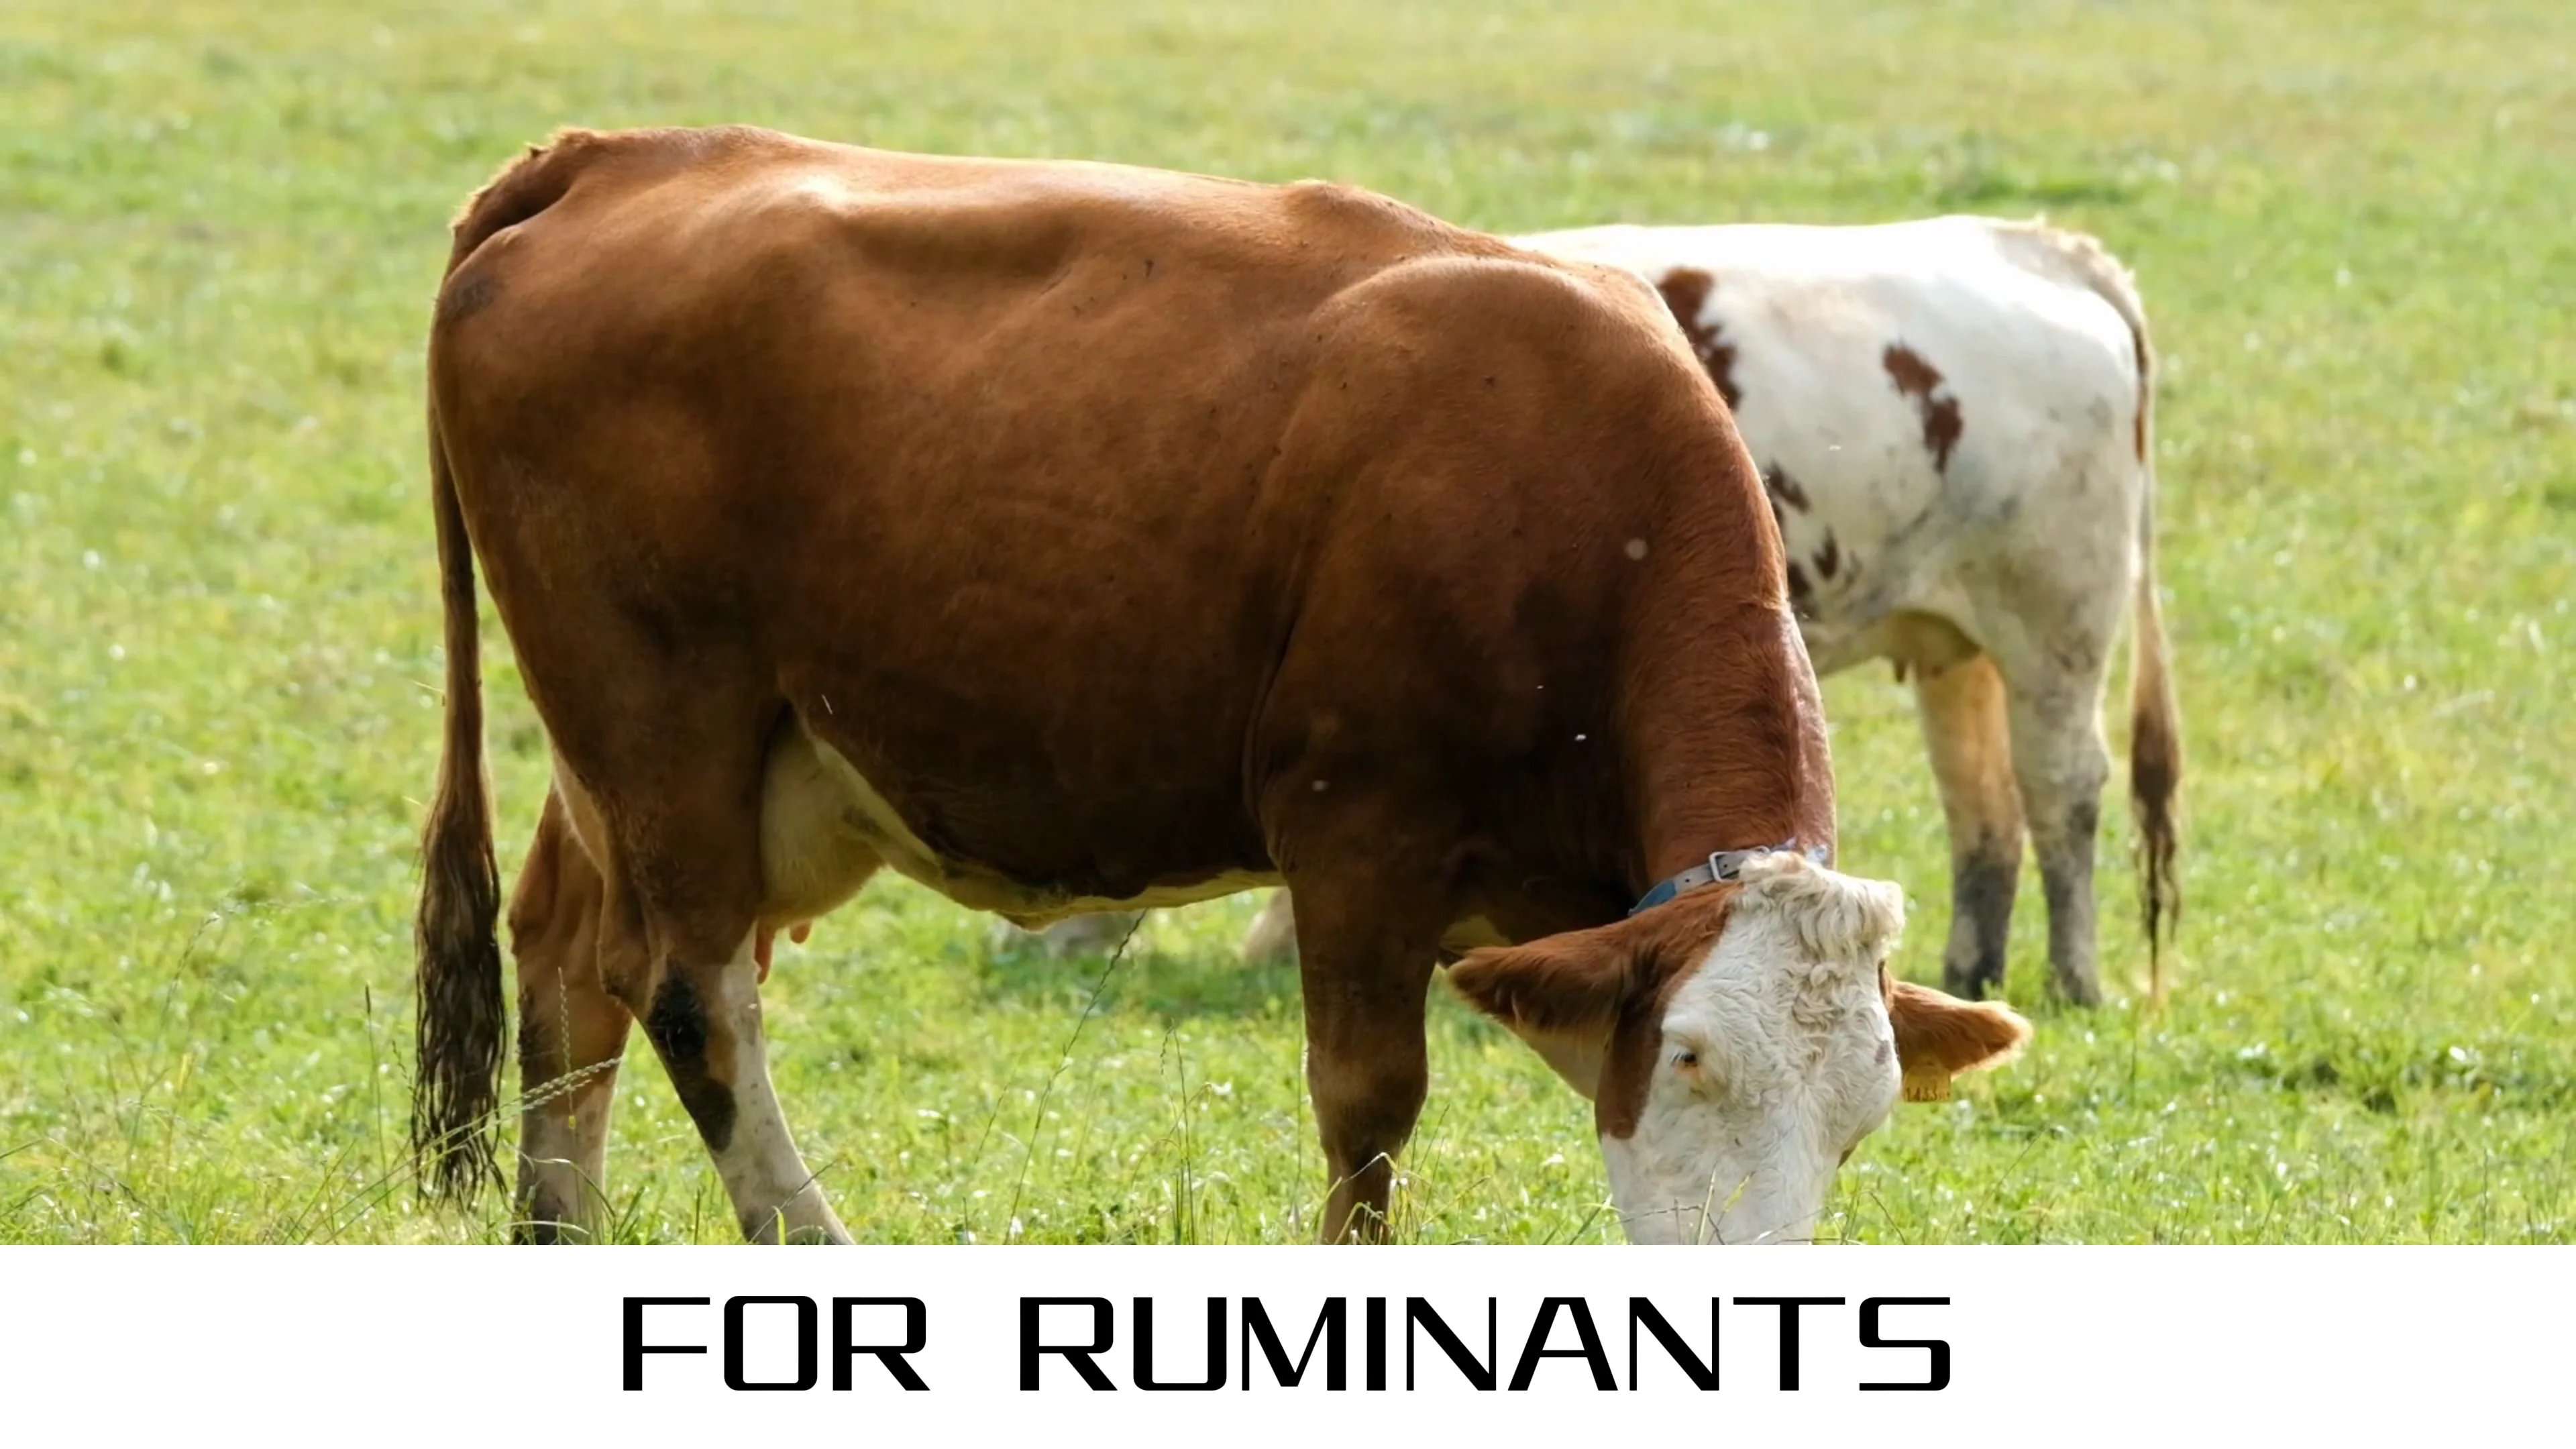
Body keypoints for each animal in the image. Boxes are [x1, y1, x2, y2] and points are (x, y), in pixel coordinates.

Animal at [411, 125, 2029, 1247]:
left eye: (1863, 1114)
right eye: (1687, 1058)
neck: (1561, 494)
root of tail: (614, 160)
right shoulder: (1359, 837)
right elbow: (1369, 1111)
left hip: (662, 755)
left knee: (568, 950)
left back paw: (559, 1235)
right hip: (659, 716)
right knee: (691, 993)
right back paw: (809, 1237)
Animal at [1059, 217, 2183, 1009]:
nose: (1063, 928)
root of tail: (2039, 249)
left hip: (2054, 622)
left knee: (2062, 789)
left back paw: (2074, 976)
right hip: (1957, 643)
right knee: (1982, 808)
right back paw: (1970, 970)